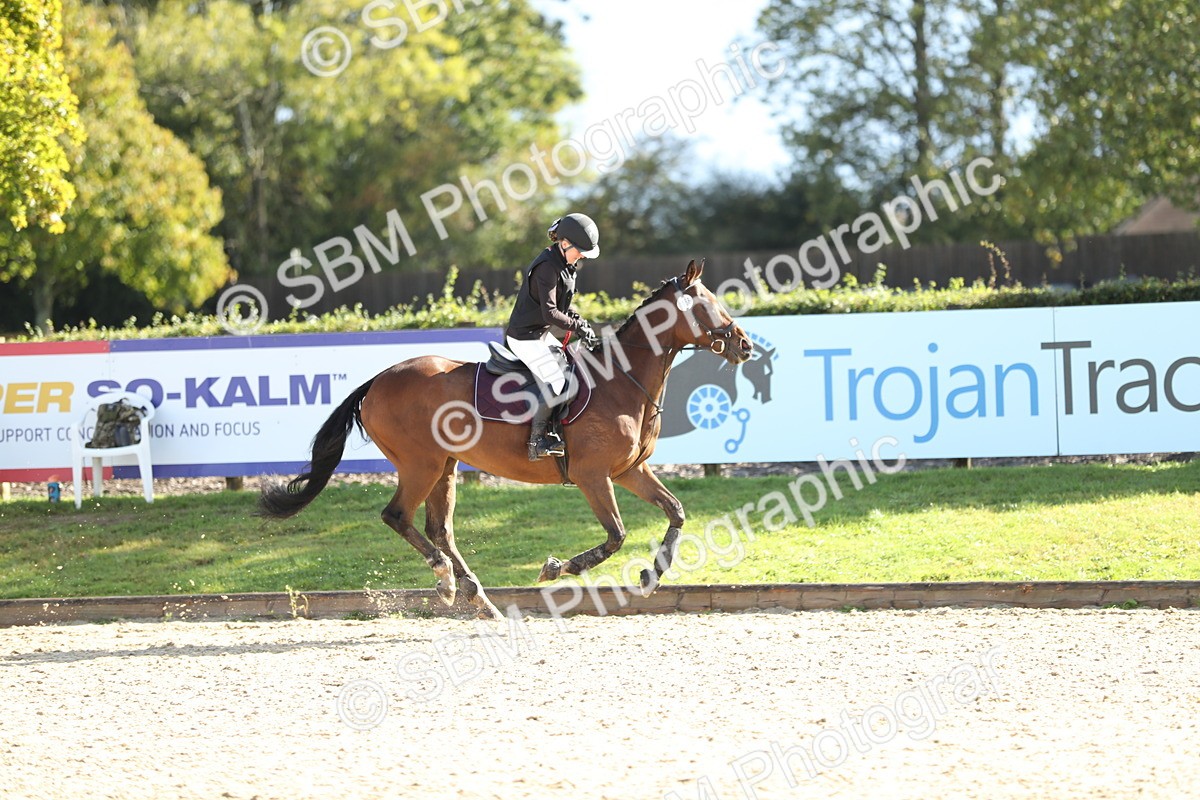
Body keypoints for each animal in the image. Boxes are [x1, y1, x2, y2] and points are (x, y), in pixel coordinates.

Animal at [259, 260, 754, 619]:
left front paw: (652, 576)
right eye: (707, 305)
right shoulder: (594, 475)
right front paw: (556, 568)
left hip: (445, 466)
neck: (623, 379)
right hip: (421, 464)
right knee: (398, 516)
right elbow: (616, 535)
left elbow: (675, 511)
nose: (745, 345)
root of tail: (378, 379)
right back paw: (445, 581)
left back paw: (477, 597)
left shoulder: (630, 470)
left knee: (440, 529)